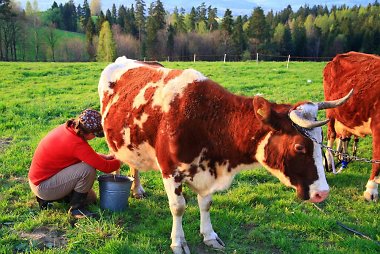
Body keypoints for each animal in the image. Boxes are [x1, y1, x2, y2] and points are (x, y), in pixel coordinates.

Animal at [100, 56, 350, 253]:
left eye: (321, 141)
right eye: (299, 147)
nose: (322, 193)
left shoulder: (208, 171)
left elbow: (206, 204)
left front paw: (209, 236)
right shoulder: (171, 170)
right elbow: (178, 207)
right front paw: (178, 242)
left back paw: (137, 188)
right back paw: (136, 188)